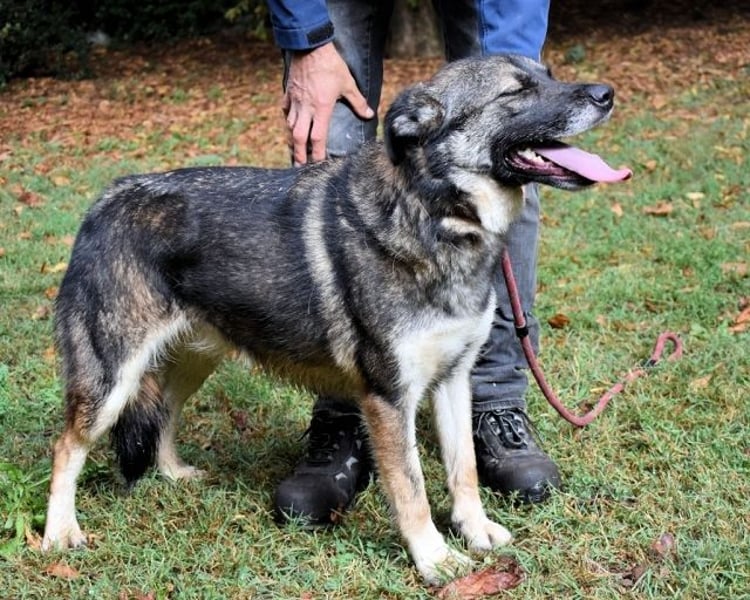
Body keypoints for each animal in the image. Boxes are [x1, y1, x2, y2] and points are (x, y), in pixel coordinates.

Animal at [42, 55, 629, 584]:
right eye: (516, 91)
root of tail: (103, 202)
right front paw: (434, 560)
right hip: (111, 380)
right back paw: (60, 533)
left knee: (163, 408)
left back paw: (173, 474)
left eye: (548, 75)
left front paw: (475, 530)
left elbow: (463, 470)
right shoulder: (389, 398)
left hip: (193, 359)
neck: (435, 217)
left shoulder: (454, 380)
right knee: (67, 446)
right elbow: (413, 489)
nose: (607, 93)